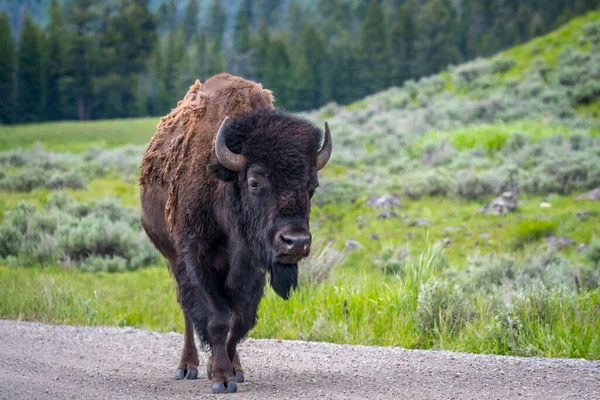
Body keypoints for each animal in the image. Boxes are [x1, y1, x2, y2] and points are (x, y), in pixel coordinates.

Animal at [139, 73, 332, 392]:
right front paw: (220, 377)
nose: (295, 242)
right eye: (254, 182)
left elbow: (241, 319)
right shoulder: (195, 258)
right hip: (171, 257)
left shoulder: (253, 269)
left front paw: (230, 370)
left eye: (312, 185)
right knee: (186, 309)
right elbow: (216, 317)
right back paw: (187, 366)